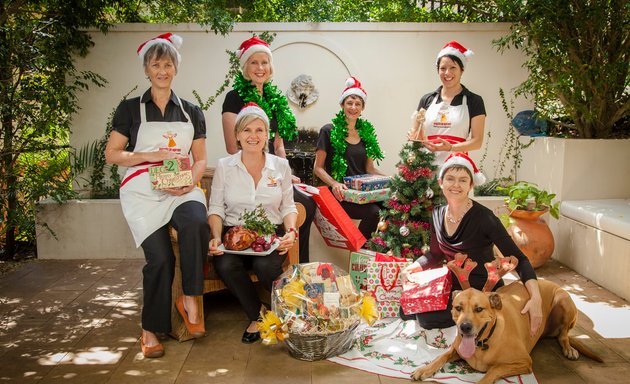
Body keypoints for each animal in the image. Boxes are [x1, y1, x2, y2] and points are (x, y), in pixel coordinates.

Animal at [412, 280, 600, 384]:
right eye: (458, 308)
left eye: (479, 309)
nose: (464, 327)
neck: (484, 343)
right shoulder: (456, 349)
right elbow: (441, 357)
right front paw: (424, 370)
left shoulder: (524, 362)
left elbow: (494, 370)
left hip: (563, 301)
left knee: (564, 335)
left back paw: (569, 349)